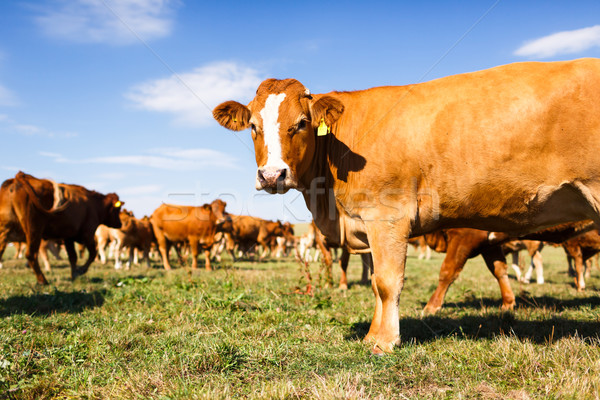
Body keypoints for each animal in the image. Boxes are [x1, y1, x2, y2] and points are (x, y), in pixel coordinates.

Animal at [213, 58, 600, 354]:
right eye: (252, 126)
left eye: (301, 124)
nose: (272, 175)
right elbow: (376, 282)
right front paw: (374, 334)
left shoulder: (387, 217)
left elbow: (387, 281)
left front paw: (383, 341)